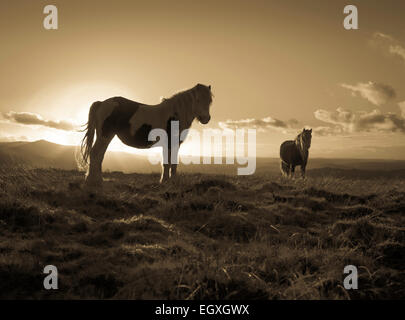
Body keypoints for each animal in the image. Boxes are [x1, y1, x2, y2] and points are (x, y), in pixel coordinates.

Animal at [78, 84, 211, 186]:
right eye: (198, 100)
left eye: (209, 101)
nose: (206, 119)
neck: (175, 115)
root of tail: (101, 103)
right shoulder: (170, 144)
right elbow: (169, 163)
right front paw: (168, 181)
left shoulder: (171, 145)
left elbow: (170, 163)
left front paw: (168, 181)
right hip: (104, 136)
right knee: (95, 154)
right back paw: (94, 181)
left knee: (99, 155)